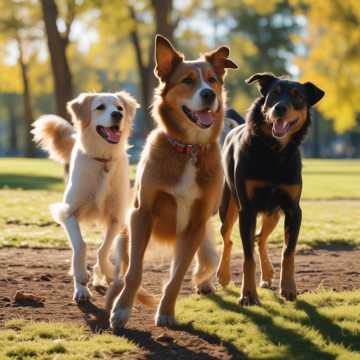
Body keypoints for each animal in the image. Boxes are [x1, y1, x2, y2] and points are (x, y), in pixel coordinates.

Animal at [31, 91, 139, 302]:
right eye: (100, 107)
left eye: (120, 107)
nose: (118, 115)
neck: (103, 160)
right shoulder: (68, 213)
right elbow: (80, 246)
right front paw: (81, 276)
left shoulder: (116, 217)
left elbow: (103, 248)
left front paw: (105, 271)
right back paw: (81, 289)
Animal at [108, 34, 236, 330]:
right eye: (187, 80)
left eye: (212, 79)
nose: (209, 94)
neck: (188, 149)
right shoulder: (141, 214)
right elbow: (134, 273)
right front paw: (121, 310)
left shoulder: (195, 225)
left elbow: (176, 277)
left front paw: (166, 312)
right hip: (124, 236)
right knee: (122, 272)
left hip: (207, 247)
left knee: (202, 265)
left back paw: (205, 283)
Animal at [218, 72, 324, 304]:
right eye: (274, 93)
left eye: (297, 95)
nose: (280, 108)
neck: (274, 151)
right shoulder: (247, 210)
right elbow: (247, 257)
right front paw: (248, 294)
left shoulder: (293, 210)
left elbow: (288, 252)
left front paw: (289, 288)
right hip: (229, 205)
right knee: (227, 237)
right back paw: (223, 275)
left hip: (273, 214)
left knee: (260, 238)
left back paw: (267, 274)